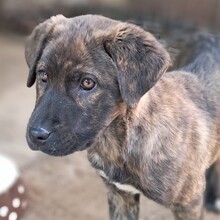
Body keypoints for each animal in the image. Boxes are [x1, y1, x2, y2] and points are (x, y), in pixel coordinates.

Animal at [24, 14, 220, 219]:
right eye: (43, 75)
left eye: (87, 83)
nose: (36, 135)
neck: (116, 141)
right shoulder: (120, 195)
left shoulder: (188, 203)